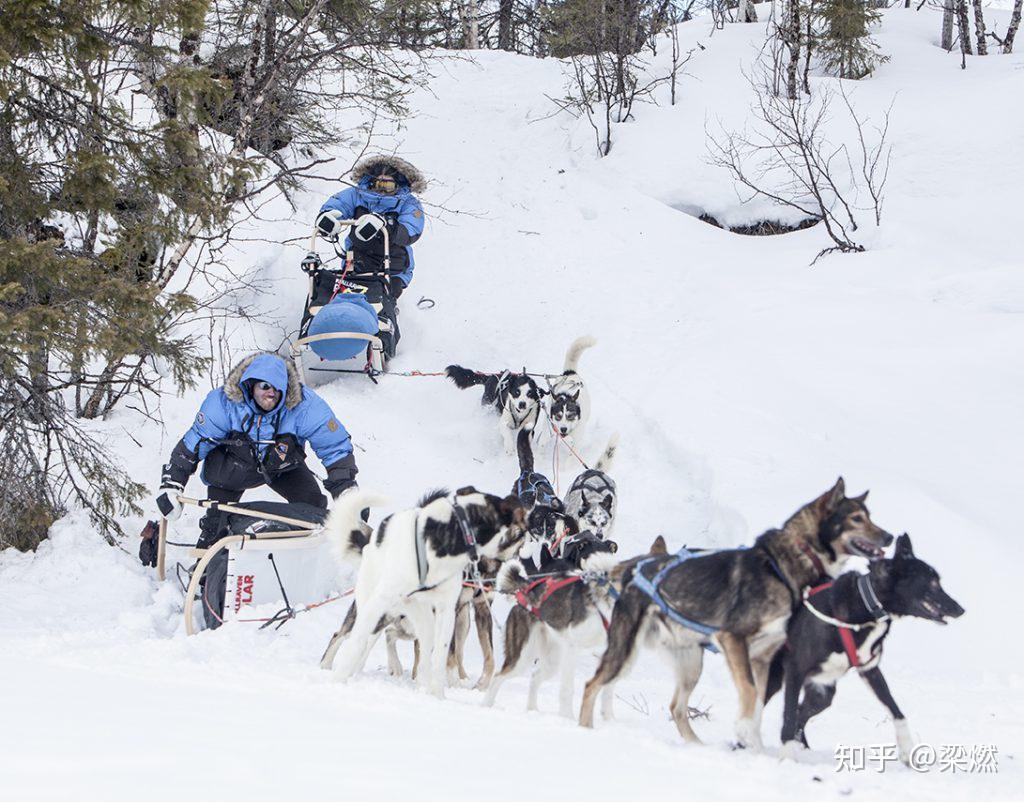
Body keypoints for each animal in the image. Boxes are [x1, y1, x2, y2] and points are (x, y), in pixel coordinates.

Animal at [319, 485, 528, 700]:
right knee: (347, 636)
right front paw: (337, 682)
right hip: (376, 609)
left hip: (428, 620)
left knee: (423, 651)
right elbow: (357, 643)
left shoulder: (460, 611)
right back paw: (331, 666)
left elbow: (458, 656)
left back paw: (423, 683)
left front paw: (447, 692)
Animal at [581, 479, 892, 749]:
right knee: (591, 684)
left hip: (691, 663)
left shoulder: (763, 658)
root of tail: (636, 568)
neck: (782, 567)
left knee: (677, 707)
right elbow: (751, 693)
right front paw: (745, 733)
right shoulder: (733, 640)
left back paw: (698, 747)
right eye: (856, 518)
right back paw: (583, 729)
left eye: (869, 516)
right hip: (626, 652)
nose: (889, 536)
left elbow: (757, 704)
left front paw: (753, 745)